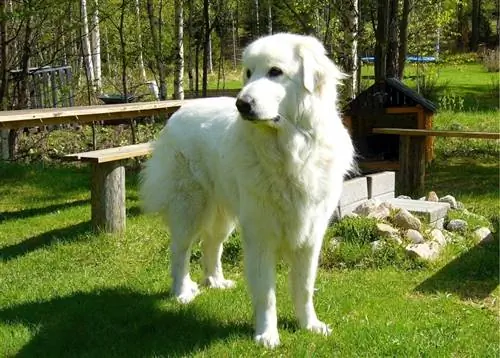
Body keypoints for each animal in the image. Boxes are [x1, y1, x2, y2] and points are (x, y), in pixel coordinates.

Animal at [139, 32, 354, 346]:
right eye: (249, 73)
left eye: (275, 72)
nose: (242, 104)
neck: (290, 152)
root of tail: (179, 111)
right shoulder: (260, 235)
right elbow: (266, 294)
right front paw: (267, 335)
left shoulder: (310, 235)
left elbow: (304, 287)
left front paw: (309, 325)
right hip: (189, 208)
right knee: (180, 250)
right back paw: (181, 292)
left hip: (224, 215)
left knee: (211, 244)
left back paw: (215, 282)